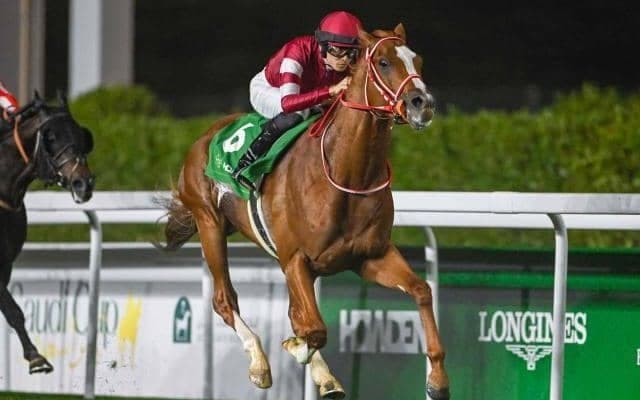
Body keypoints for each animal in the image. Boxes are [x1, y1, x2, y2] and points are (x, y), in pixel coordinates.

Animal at [0, 92, 95, 374]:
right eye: (51, 137)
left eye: (81, 135)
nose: (83, 183)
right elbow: (13, 310)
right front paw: (35, 357)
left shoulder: (6, 264)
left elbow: (13, 312)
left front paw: (35, 356)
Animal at [161, 24, 450, 400]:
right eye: (384, 62)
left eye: (418, 60)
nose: (422, 104)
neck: (347, 174)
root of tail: (204, 136)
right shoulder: (295, 258)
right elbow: (313, 328)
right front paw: (295, 349)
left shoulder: (369, 256)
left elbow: (421, 290)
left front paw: (437, 380)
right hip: (209, 222)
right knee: (225, 300)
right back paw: (260, 363)